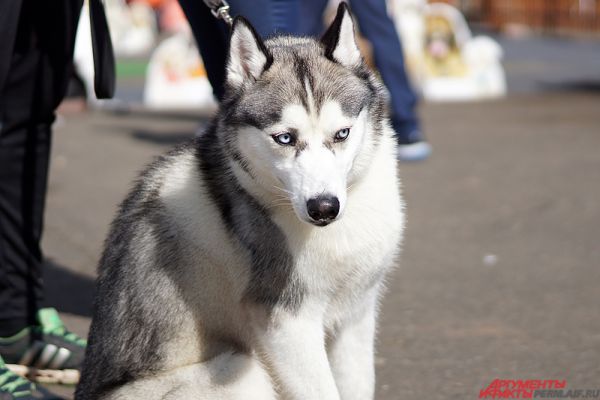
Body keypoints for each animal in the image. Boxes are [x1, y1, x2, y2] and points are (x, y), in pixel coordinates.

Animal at [75, 3, 404, 400]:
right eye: (284, 138)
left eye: (341, 133)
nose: (324, 207)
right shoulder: (287, 322)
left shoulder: (357, 314)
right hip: (243, 369)